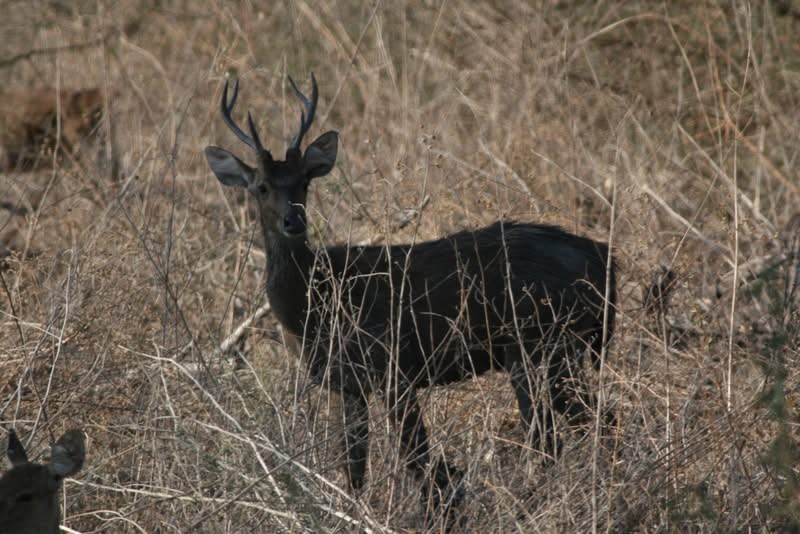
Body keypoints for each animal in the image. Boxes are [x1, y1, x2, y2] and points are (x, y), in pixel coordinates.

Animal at [206, 74, 620, 524]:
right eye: (261, 187)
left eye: (304, 181)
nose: (293, 220)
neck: (315, 305)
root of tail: (603, 259)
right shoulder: (348, 383)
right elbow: (354, 466)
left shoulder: (393, 368)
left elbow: (417, 458)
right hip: (557, 349)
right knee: (594, 423)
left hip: (538, 344)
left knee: (554, 436)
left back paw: (532, 507)